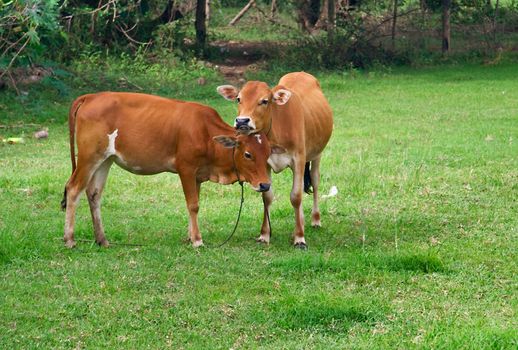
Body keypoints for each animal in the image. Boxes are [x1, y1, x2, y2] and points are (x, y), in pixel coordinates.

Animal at [62, 91, 284, 247]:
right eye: (247, 154)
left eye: (267, 154)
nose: (265, 185)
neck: (206, 133)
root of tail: (91, 96)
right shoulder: (186, 168)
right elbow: (193, 205)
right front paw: (197, 240)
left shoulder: (197, 175)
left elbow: (194, 203)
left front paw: (190, 236)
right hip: (89, 157)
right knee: (73, 189)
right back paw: (70, 239)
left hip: (105, 159)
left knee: (94, 194)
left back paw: (102, 239)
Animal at [218, 71, 336, 247]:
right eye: (238, 99)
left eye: (264, 101)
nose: (242, 121)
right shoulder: (264, 164)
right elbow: (267, 196)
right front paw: (264, 235)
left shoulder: (299, 160)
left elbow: (296, 196)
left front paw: (299, 237)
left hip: (316, 155)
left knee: (315, 182)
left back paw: (315, 220)